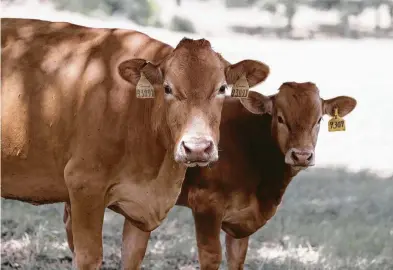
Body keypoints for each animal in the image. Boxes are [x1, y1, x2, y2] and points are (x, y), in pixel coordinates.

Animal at [0, 17, 270, 268]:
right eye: (168, 88)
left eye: (222, 88)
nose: (197, 148)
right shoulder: (84, 185)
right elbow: (88, 257)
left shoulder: (141, 209)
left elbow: (132, 257)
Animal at [66, 81, 356, 268]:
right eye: (281, 118)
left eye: (319, 120)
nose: (302, 155)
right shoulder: (206, 204)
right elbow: (211, 256)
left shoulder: (241, 221)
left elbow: (237, 258)